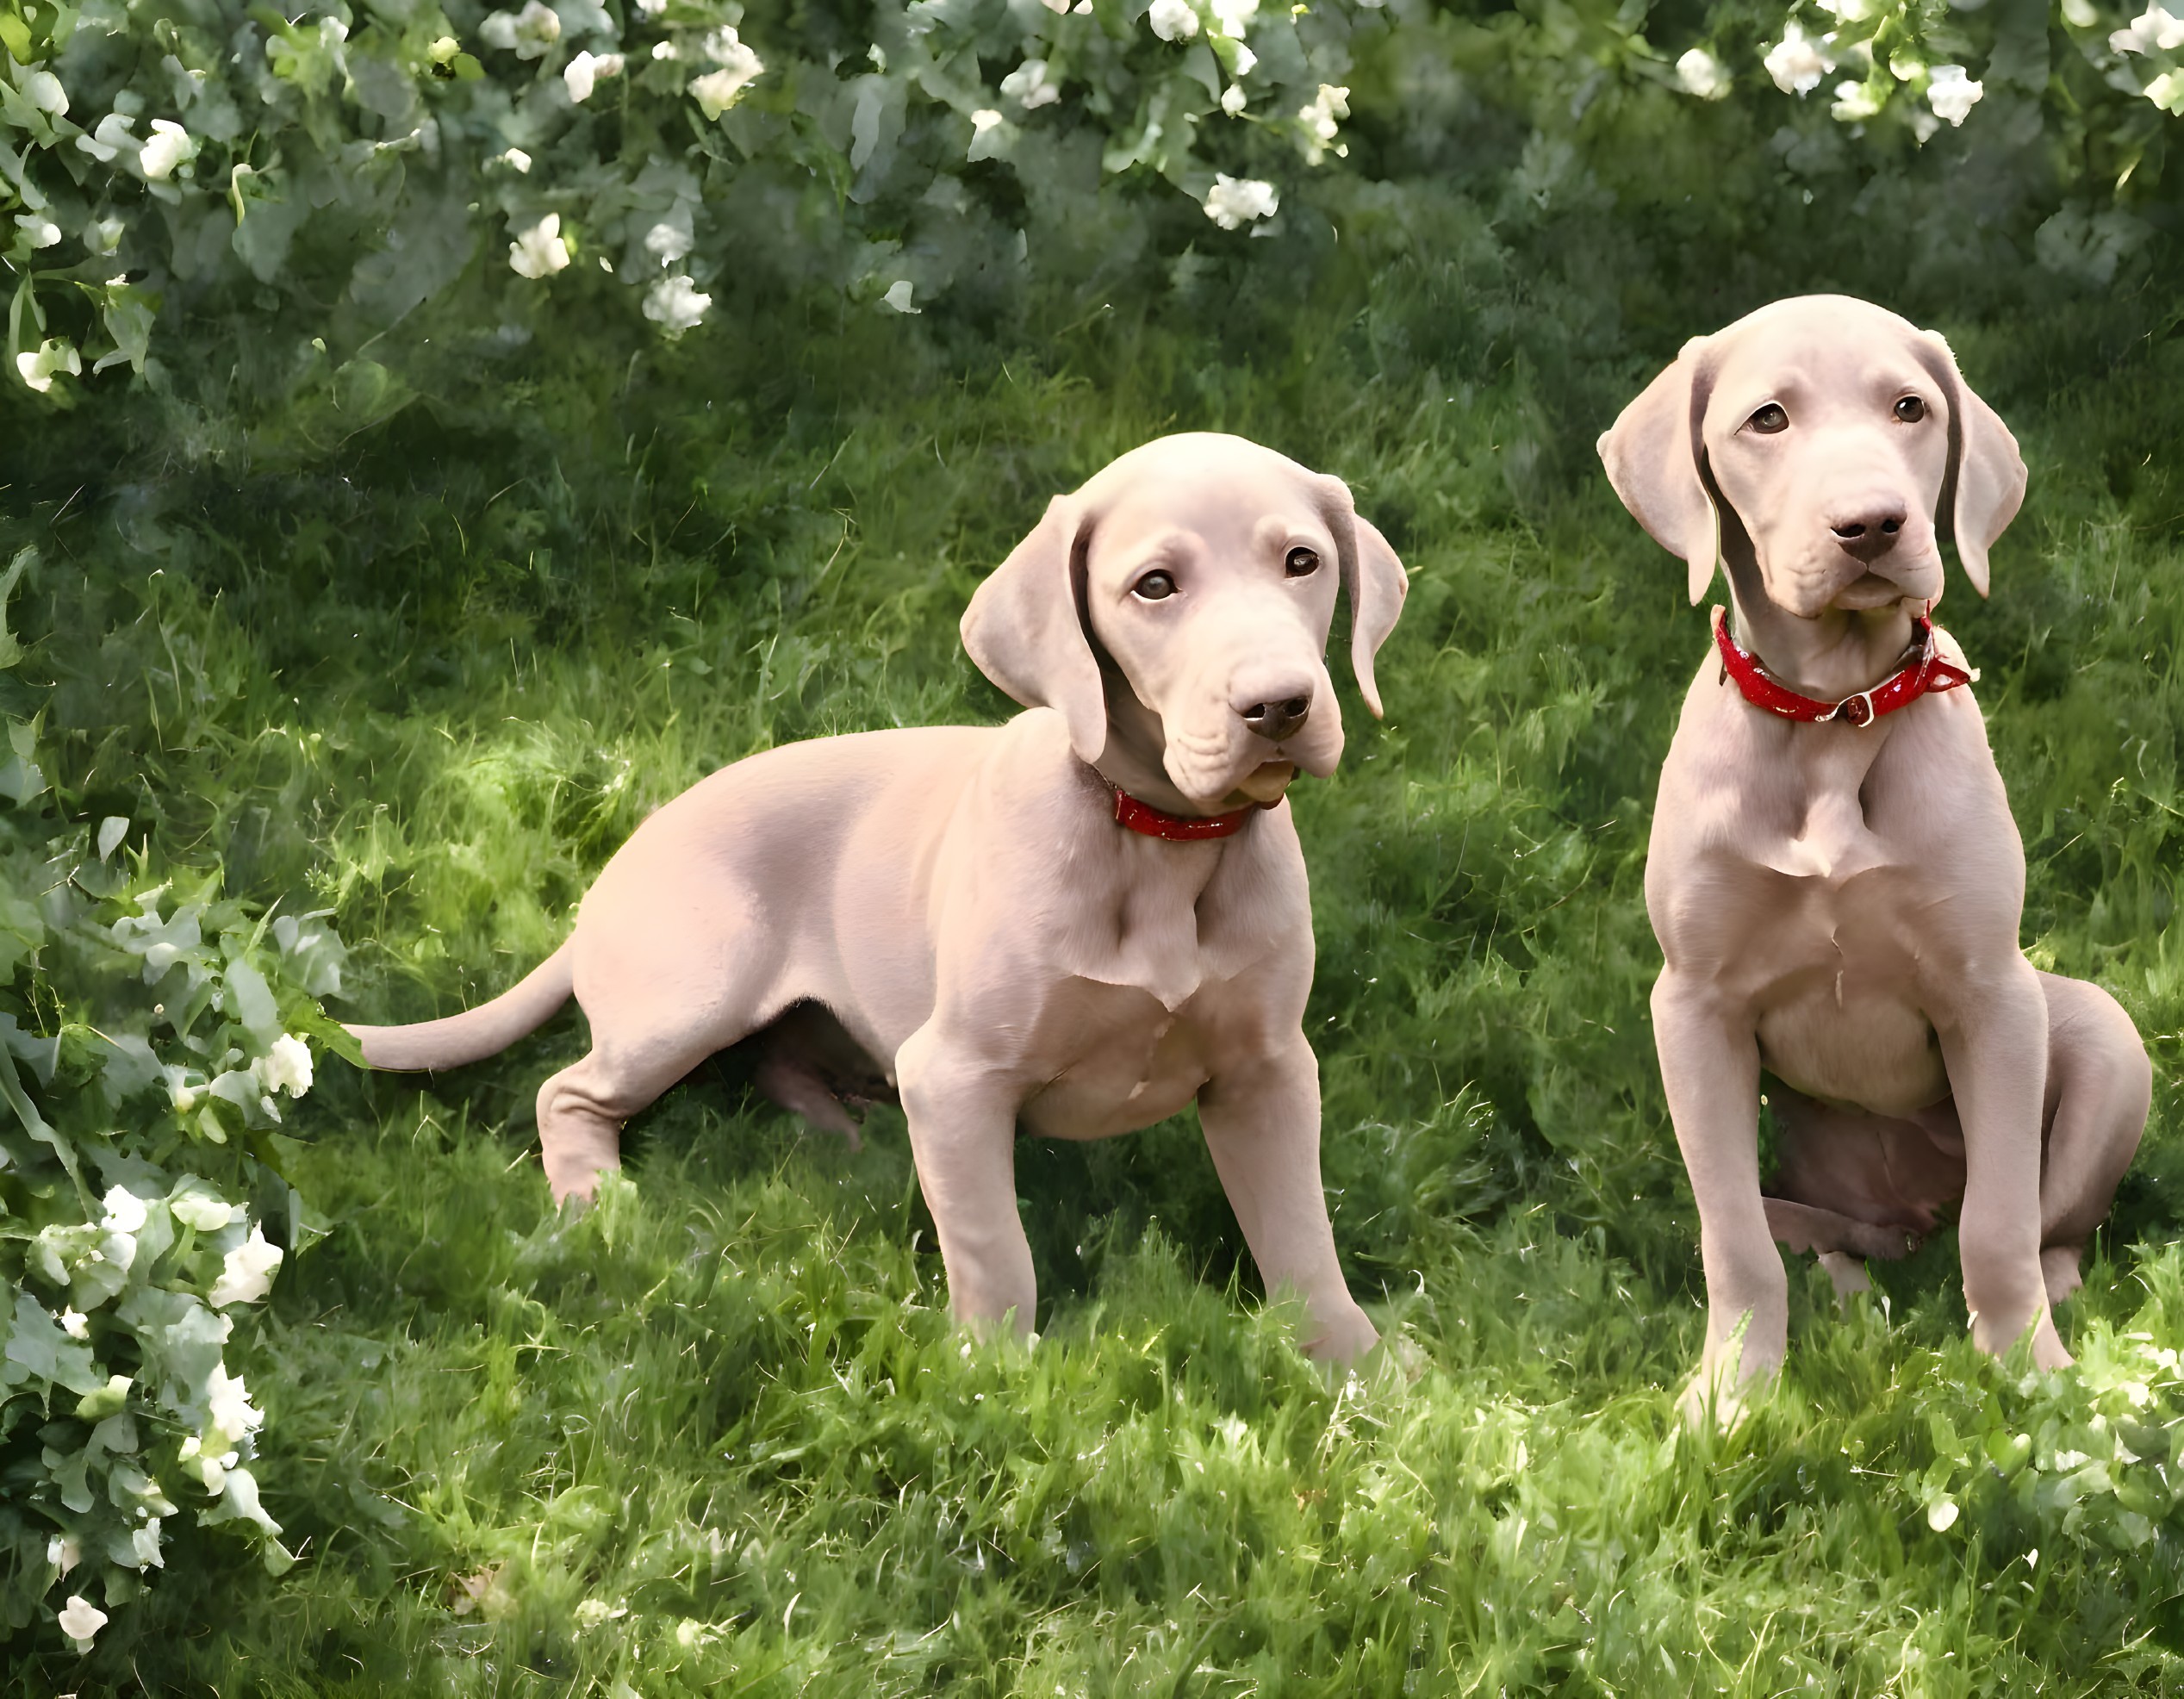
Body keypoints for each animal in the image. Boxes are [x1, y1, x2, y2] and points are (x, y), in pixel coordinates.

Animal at [340, 430, 1397, 1354]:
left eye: (1302, 562)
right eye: (1154, 586)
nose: (1279, 705)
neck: (1163, 840)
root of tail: (619, 868)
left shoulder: (1268, 1068)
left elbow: (1299, 1232)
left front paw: (1360, 1367)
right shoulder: (955, 1073)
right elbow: (995, 1249)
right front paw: (994, 1381)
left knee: (774, 1065)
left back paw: (852, 1139)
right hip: (695, 988)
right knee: (568, 1091)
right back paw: (600, 1204)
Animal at [1598, 295, 2157, 1415]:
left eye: (1910, 408)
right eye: (1767, 419)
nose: (1871, 525)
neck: (1832, 713)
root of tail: (1911, 1220)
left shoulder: (1993, 993)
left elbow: (2001, 1224)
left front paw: (2028, 1372)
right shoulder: (1693, 1007)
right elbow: (1732, 1241)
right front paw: (1731, 1392)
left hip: (2103, 1038)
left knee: (2042, 1222)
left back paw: (2048, 1295)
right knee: (1804, 1236)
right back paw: (1850, 1291)